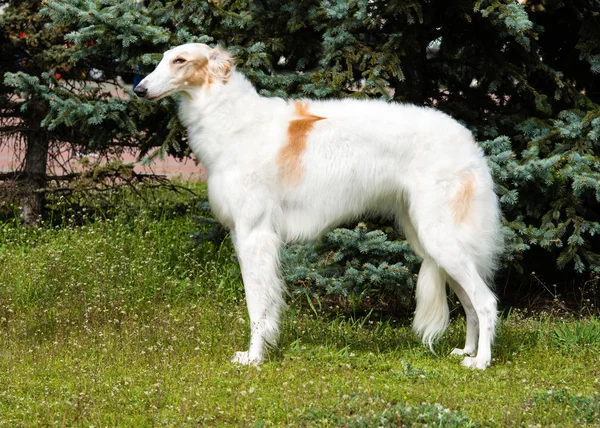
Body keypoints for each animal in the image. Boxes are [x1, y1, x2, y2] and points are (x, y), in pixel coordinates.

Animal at [134, 44, 504, 372]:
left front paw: (254, 357)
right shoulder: (242, 235)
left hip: (441, 236)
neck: (233, 121)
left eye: (180, 60)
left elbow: (257, 305)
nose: (139, 89)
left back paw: (482, 361)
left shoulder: (255, 235)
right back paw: (467, 351)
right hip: (432, 239)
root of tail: (469, 141)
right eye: (163, 58)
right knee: (471, 304)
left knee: (485, 301)